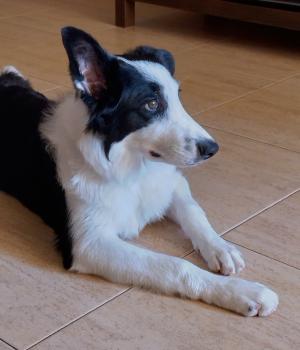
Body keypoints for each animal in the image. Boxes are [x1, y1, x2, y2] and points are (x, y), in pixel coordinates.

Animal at [0, 26, 278, 318]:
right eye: (151, 104)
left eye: (178, 97)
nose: (212, 149)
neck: (130, 167)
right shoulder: (88, 244)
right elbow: (176, 267)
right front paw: (242, 292)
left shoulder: (171, 183)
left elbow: (194, 212)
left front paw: (220, 248)